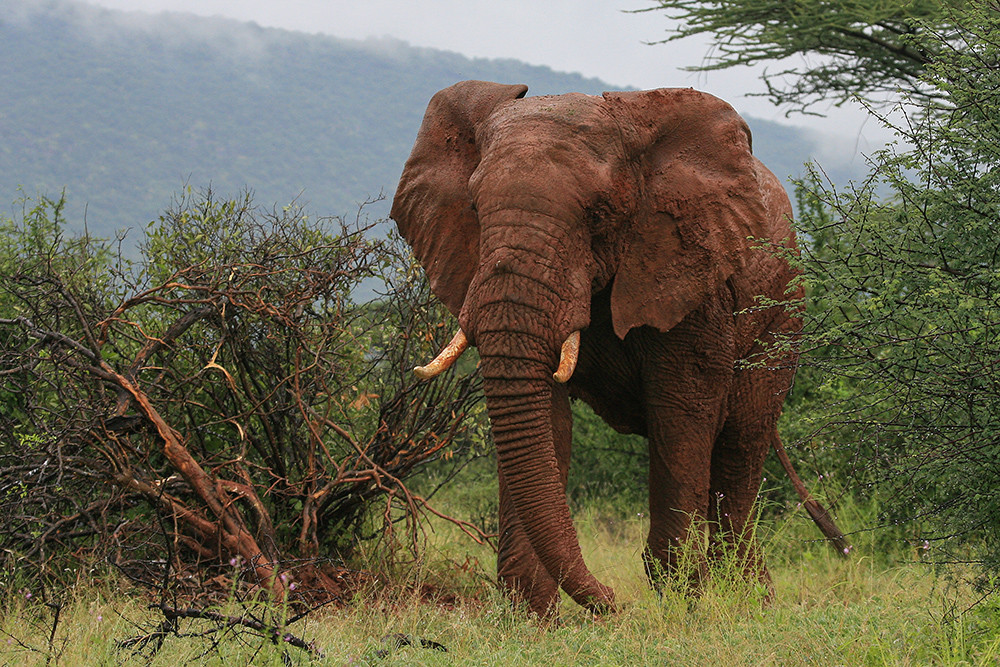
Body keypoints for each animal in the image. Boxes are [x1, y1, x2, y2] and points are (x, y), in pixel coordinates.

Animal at [390, 80, 805, 617]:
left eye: (599, 214)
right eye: (475, 210)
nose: (612, 599)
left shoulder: (691, 273)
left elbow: (682, 411)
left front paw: (683, 605)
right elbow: (545, 418)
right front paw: (531, 619)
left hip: (783, 313)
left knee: (740, 445)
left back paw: (749, 601)